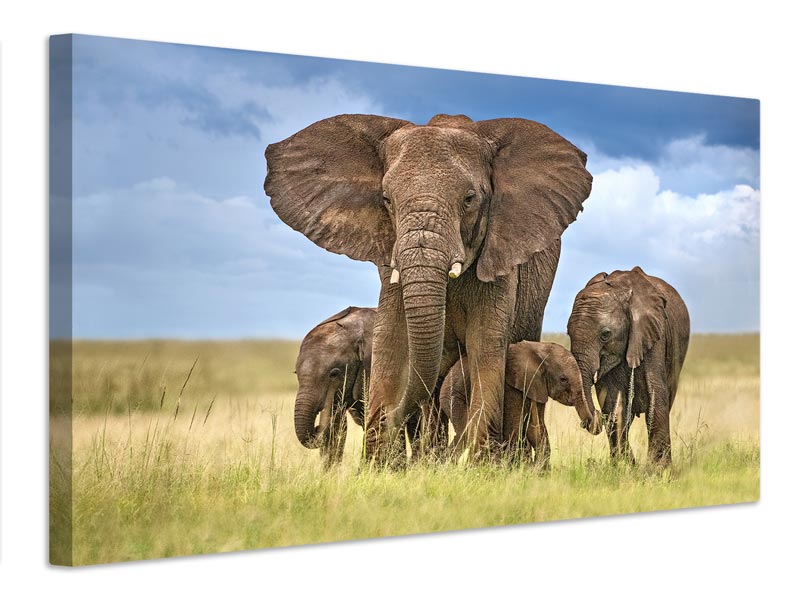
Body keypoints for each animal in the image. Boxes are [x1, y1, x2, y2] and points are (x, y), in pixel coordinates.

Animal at [440, 341, 602, 469]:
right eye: (563, 379)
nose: (586, 422)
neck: (539, 349)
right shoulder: (512, 386)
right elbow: (516, 424)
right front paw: (520, 467)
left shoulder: (537, 385)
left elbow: (536, 427)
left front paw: (538, 470)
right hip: (453, 397)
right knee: (465, 431)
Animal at [567, 267, 690, 466]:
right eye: (568, 333)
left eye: (605, 335)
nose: (594, 420)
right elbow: (613, 405)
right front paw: (625, 467)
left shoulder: (653, 334)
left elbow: (656, 398)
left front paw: (658, 470)